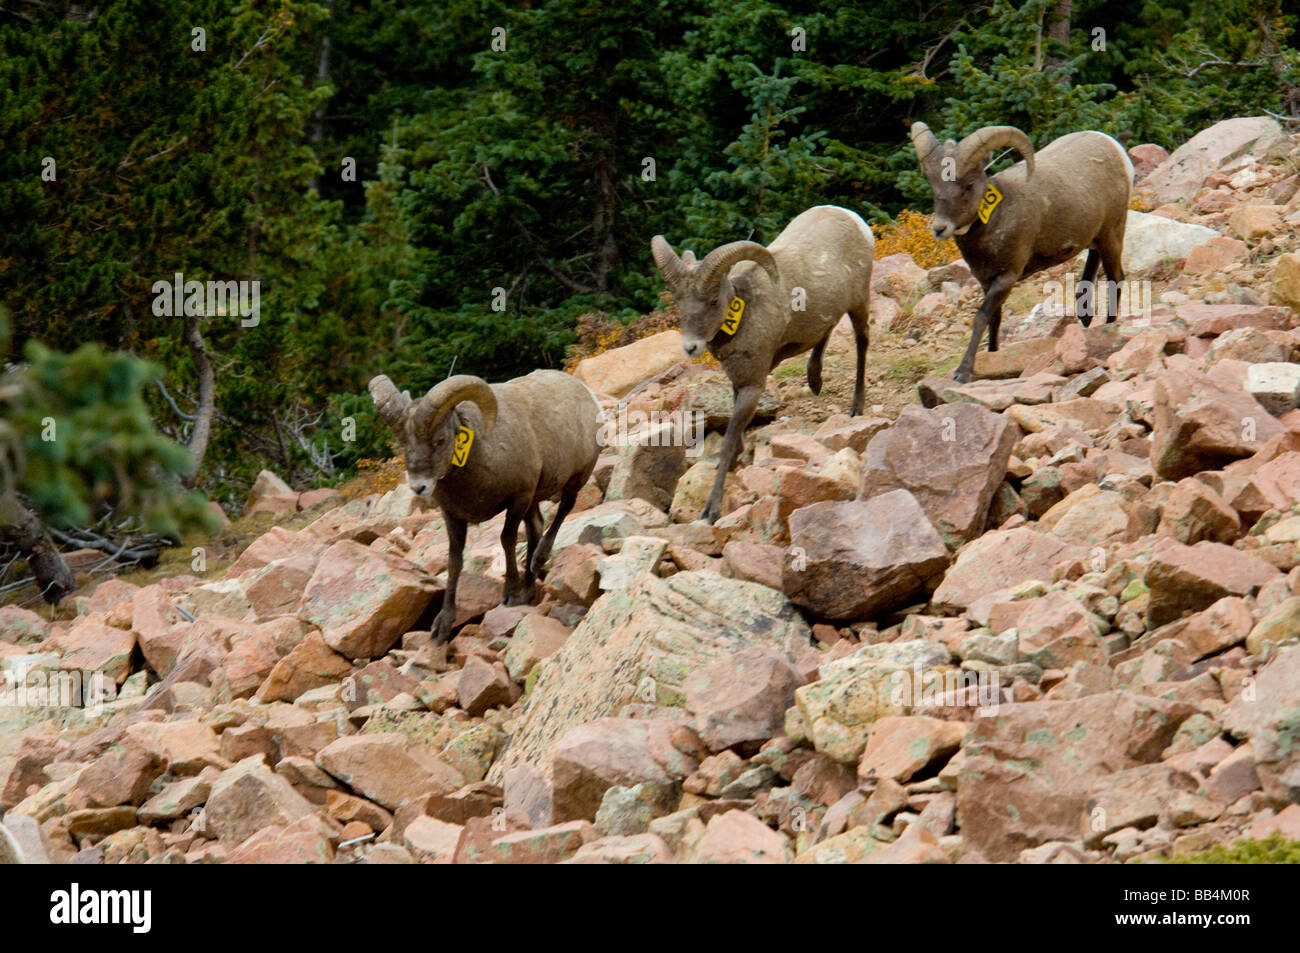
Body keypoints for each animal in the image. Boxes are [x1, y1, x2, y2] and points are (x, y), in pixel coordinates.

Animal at [371, 369, 603, 642]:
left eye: (440, 440)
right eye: (404, 445)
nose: (419, 487)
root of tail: (584, 391)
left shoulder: (519, 498)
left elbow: (507, 539)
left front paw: (510, 594)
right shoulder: (452, 516)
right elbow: (454, 560)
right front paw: (443, 625)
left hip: (576, 478)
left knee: (564, 509)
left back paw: (538, 560)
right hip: (536, 500)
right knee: (536, 526)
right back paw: (529, 588)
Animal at [650, 204, 873, 525]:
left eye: (714, 300)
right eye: (679, 301)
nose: (691, 347)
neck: (744, 314)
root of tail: (851, 217)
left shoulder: (752, 387)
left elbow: (729, 439)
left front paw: (711, 510)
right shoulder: (738, 382)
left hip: (859, 303)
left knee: (862, 342)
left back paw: (856, 407)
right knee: (826, 330)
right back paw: (815, 381)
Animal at [909, 122, 1133, 382]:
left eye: (968, 185)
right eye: (934, 186)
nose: (940, 228)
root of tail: (1114, 147)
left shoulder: (1007, 277)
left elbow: (981, 317)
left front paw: (963, 373)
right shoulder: (987, 281)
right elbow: (994, 319)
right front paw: (992, 356)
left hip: (1112, 233)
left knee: (1116, 278)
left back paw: (1108, 325)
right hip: (1096, 236)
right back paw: (1085, 317)